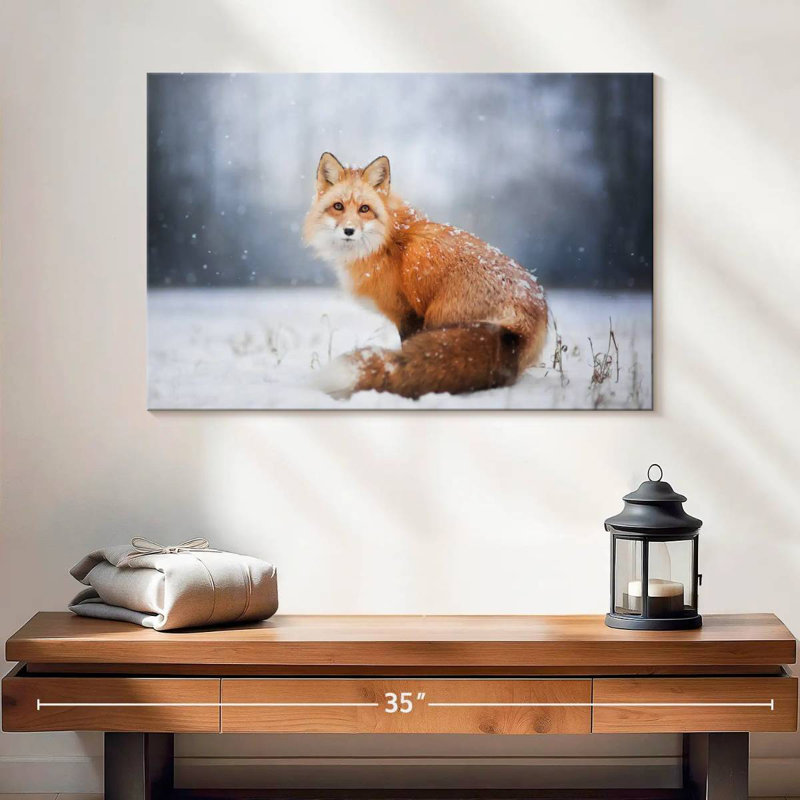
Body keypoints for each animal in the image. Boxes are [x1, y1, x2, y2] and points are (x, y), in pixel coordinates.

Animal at [303, 152, 548, 399]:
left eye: (364, 209)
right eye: (338, 206)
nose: (349, 231)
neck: (386, 242)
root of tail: (524, 321)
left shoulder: (408, 313)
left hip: (437, 318)